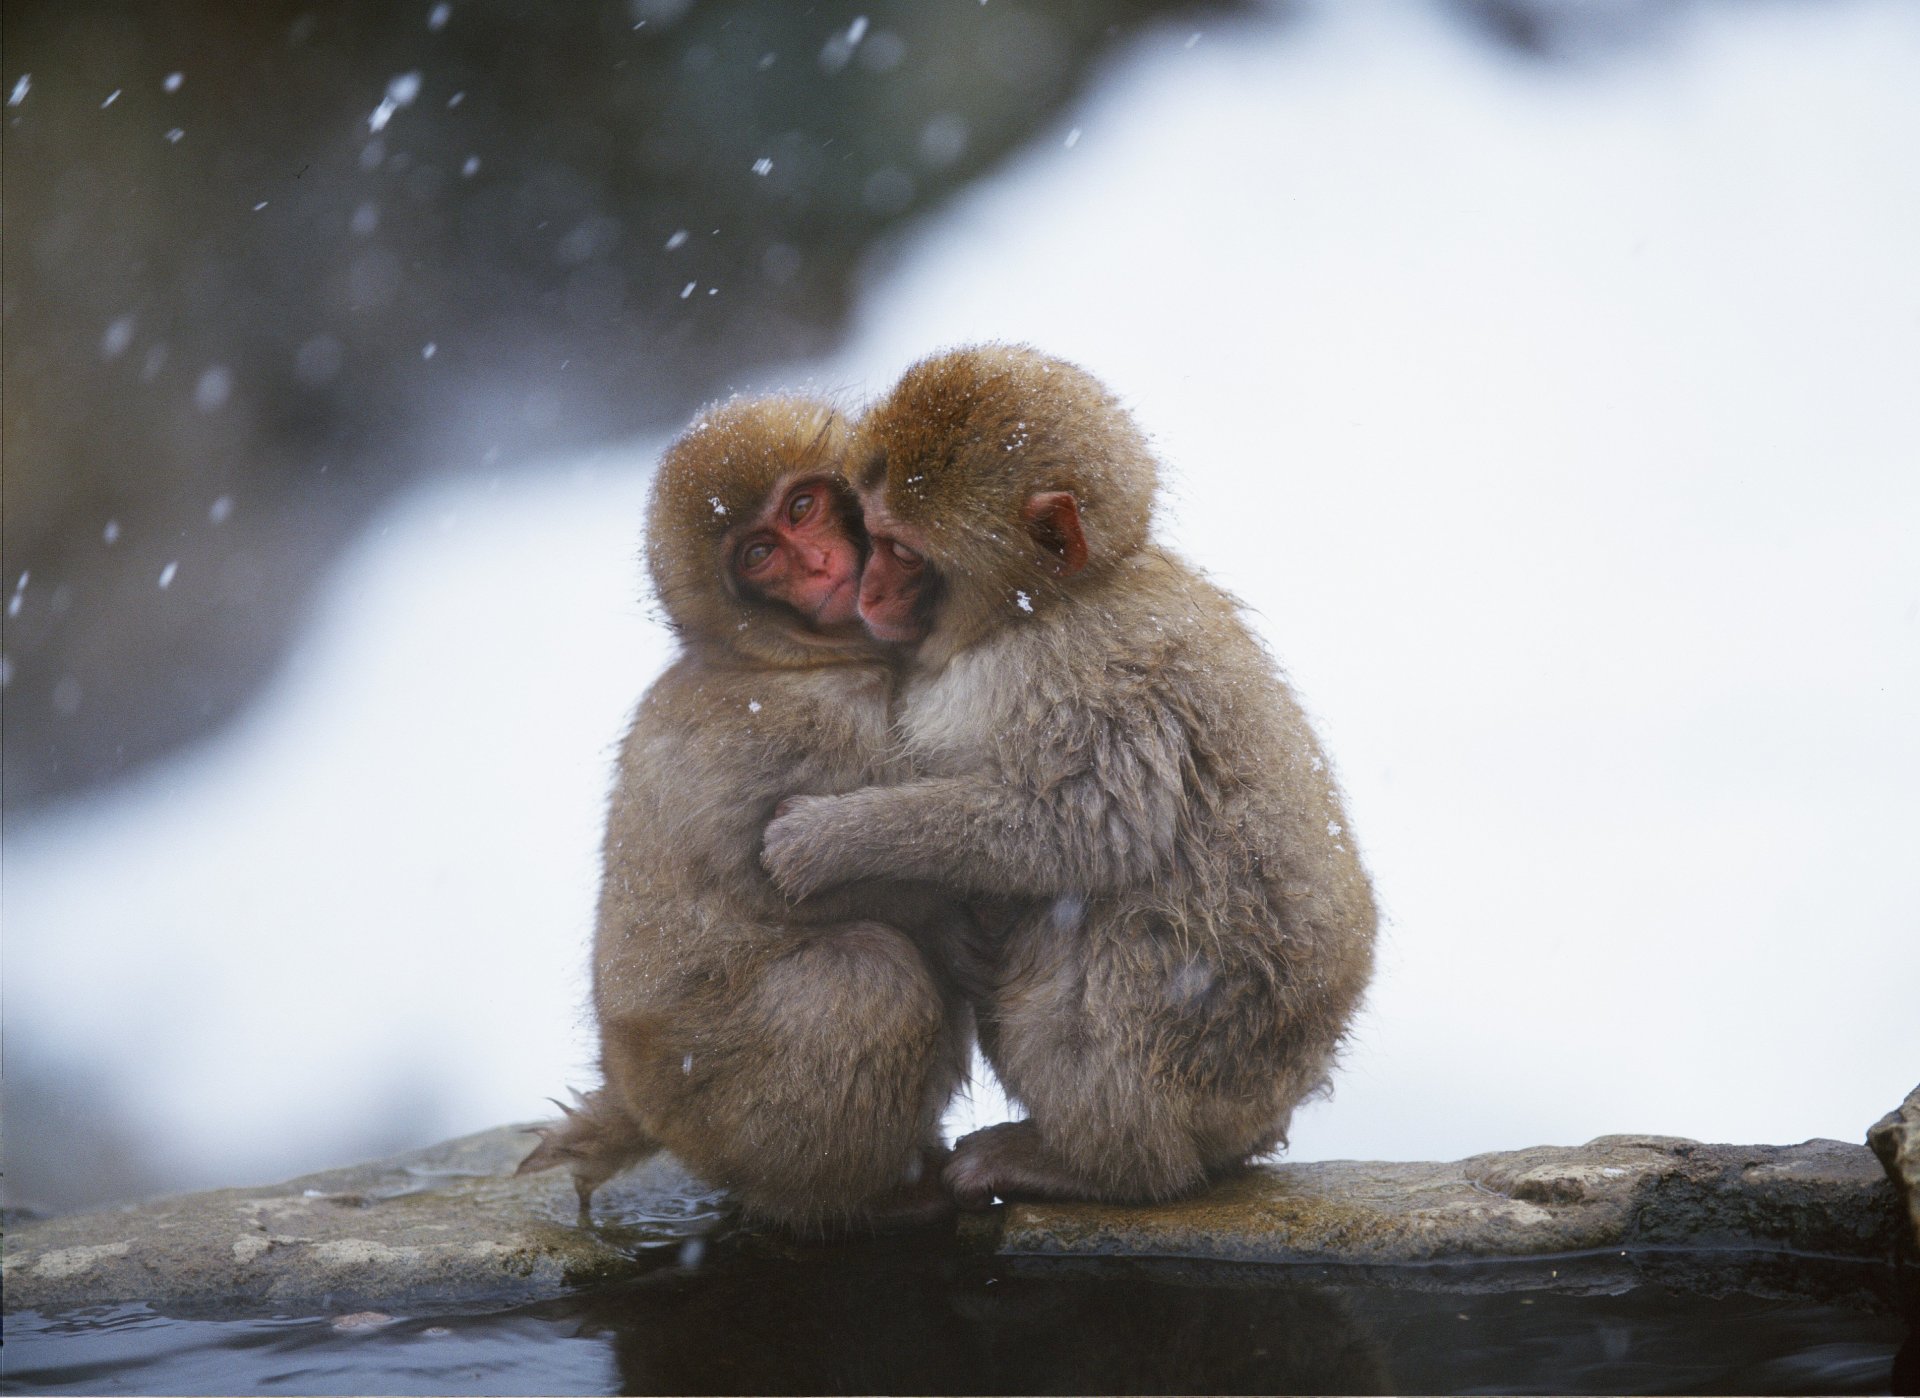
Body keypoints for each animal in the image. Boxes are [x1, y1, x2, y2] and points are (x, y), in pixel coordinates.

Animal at [518, 395, 971, 1233]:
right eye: (761, 553)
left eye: (802, 508)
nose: (821, 566)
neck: (784, 656)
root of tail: (635, 1098)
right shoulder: (816, 723)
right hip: (721, 1097)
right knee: (870, 978)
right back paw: (865, 1198)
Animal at [760, 345, 1378, 1208]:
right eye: (869, 534)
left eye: (904, 551)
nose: (867, 590)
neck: (1041, 608)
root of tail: (1275, 1100)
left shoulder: (1087, 677)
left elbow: (1091, 827)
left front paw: (832, 839)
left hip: (1204, 1049)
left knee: (1107, 938)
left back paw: (1102, 1165)